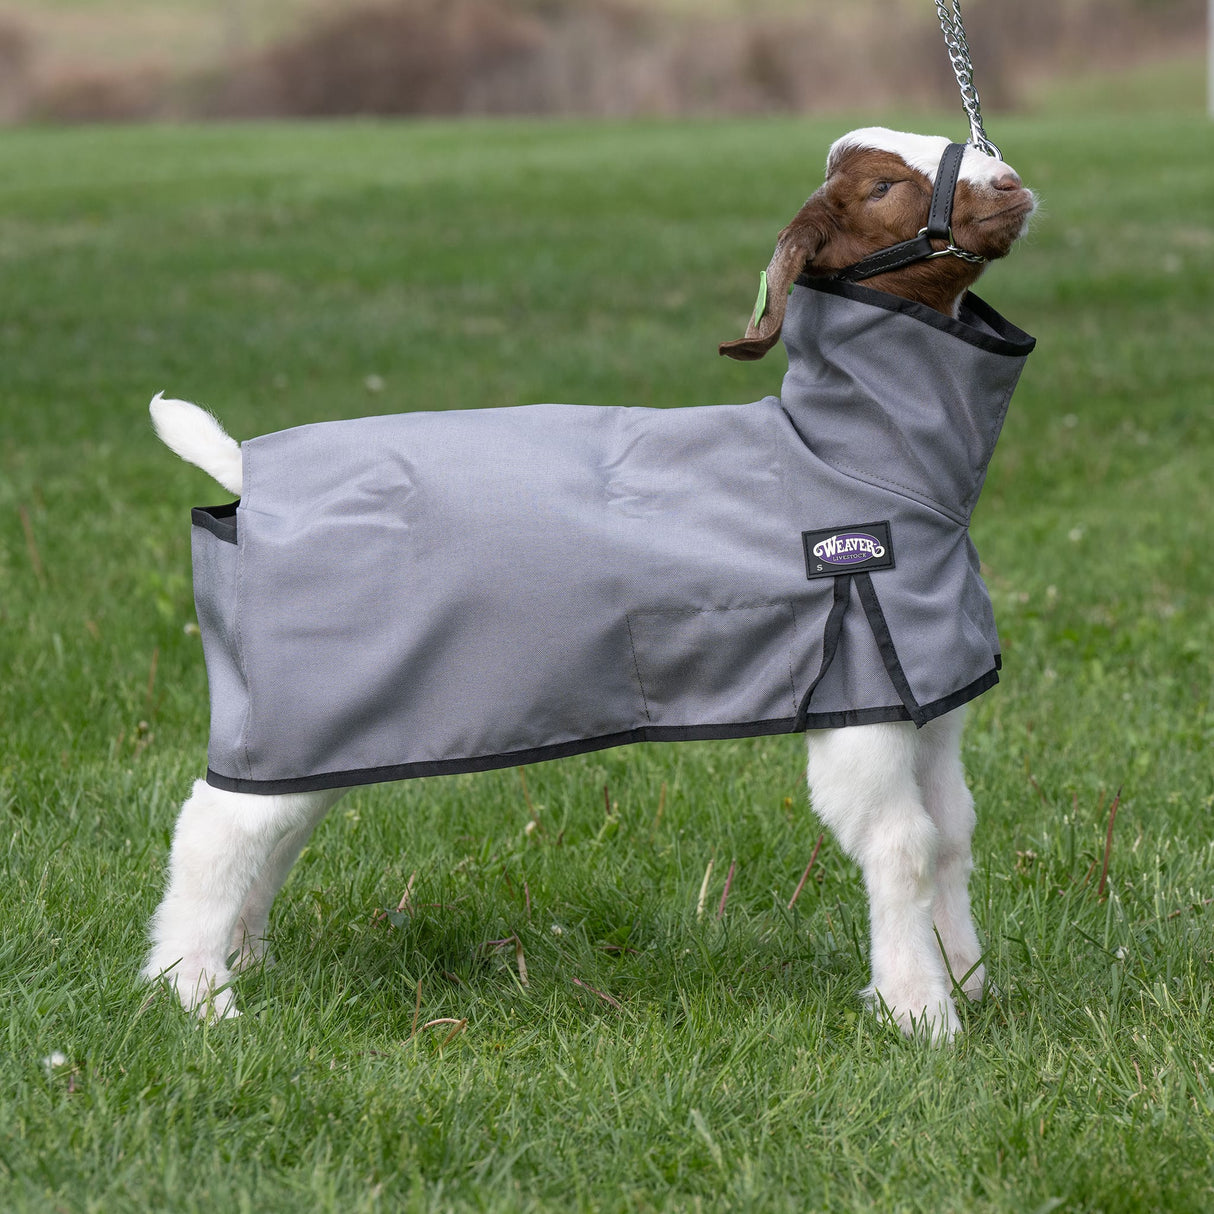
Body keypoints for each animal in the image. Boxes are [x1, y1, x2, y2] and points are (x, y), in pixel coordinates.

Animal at [144, 127, 1035, 1042]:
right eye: (884, 187)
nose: (1011, 184)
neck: (847, 457)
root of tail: (246, 467)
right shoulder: (860, 694)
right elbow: (903, 847)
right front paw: (920, 1012)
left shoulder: (926, 693)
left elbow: (951, 836)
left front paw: (969, 982)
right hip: (301, 694)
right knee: (215, 828)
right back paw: (196, 993)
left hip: (321, 718)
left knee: (275, 825)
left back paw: (246, 958)